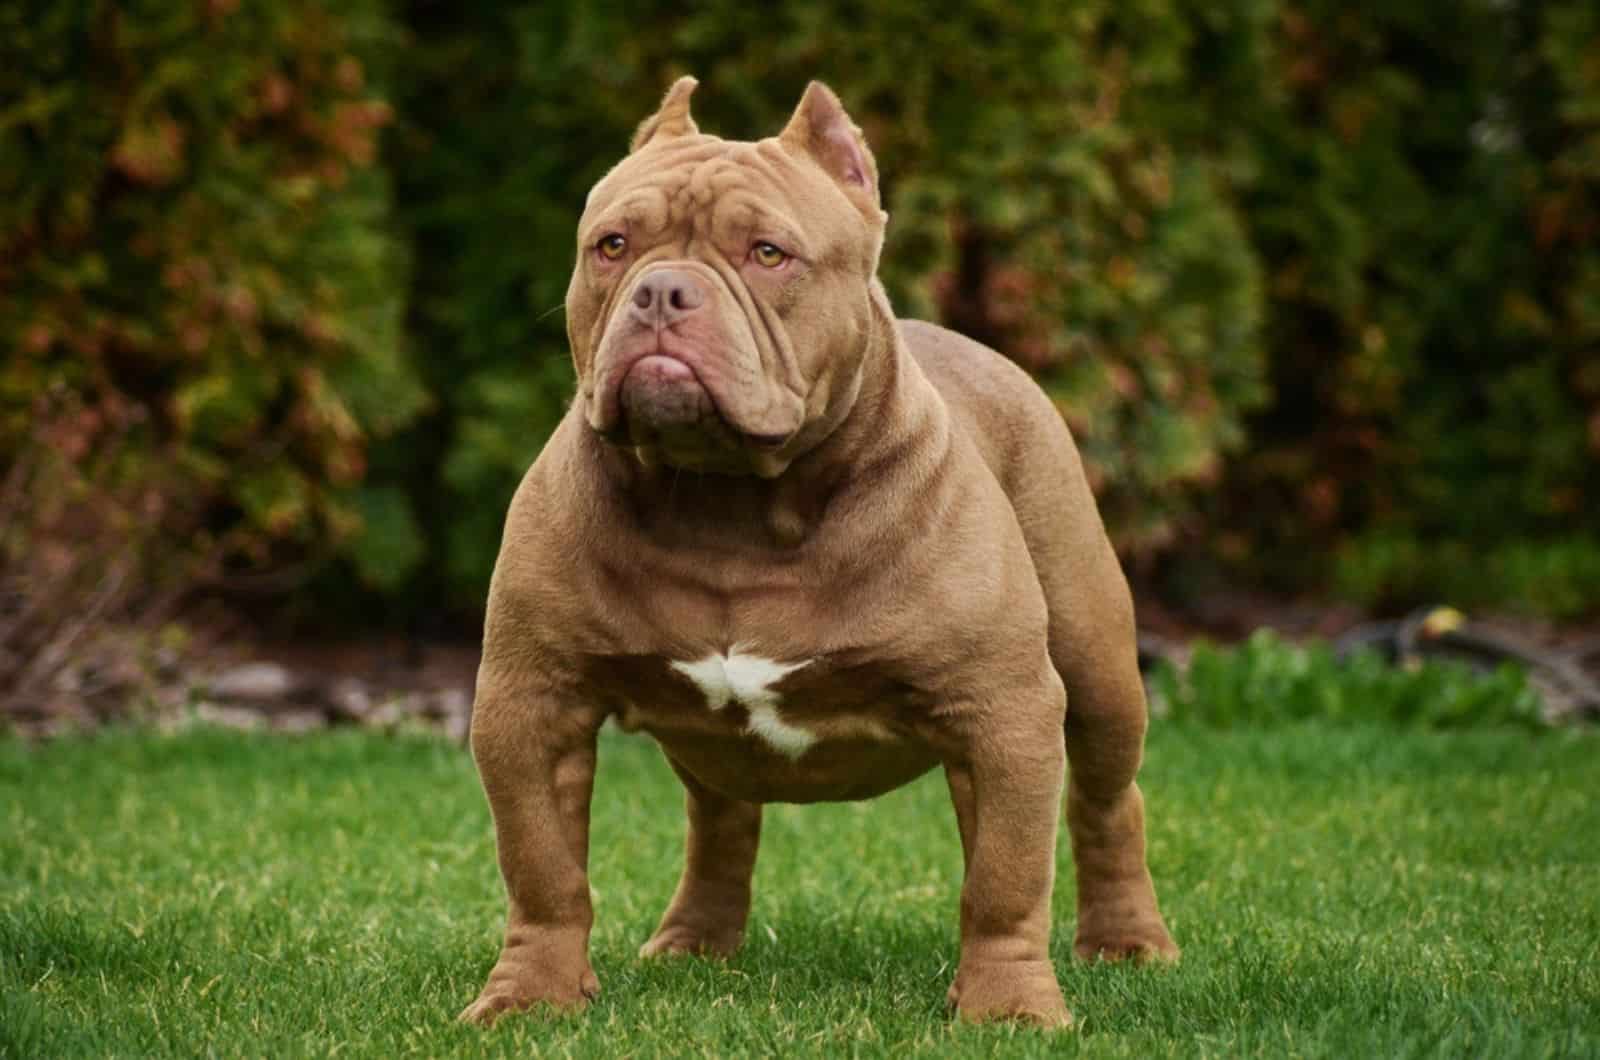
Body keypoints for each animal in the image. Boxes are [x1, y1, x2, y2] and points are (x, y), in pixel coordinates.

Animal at [460, 78, 1177, 1031]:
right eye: (612, 246)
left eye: (768, 254)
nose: (663, 292)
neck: (732, 501)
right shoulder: (532, 702)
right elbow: (542, 870)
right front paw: (532, 998)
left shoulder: (1003, 710)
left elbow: (1004, 879)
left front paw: (1009, 1008)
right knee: (721, 818)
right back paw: (694, 943)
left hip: (1096, 671)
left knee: (1106, 803)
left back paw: (1130, 943)